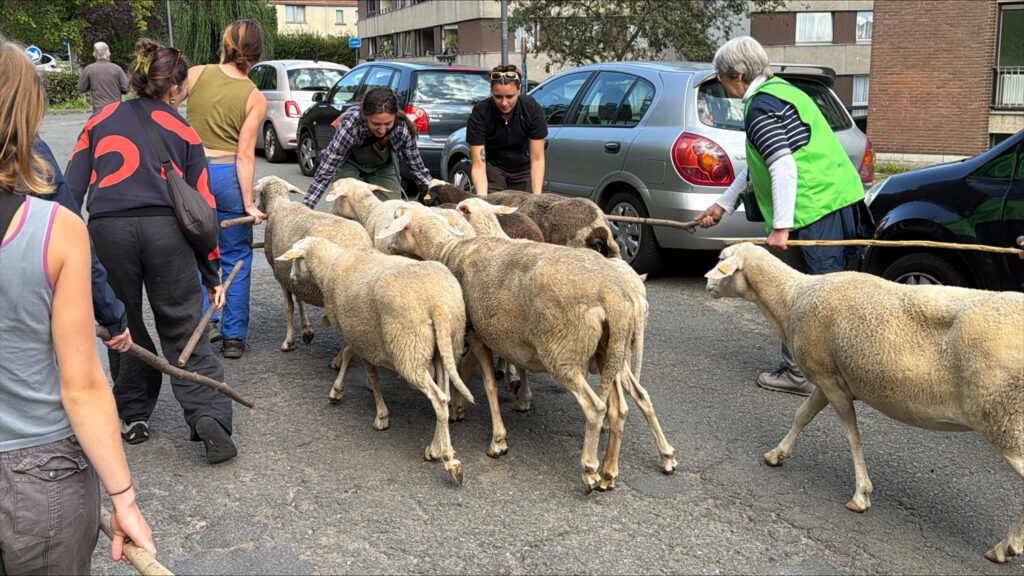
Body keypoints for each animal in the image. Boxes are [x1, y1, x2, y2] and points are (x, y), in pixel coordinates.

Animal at [255, 176, 372, 352]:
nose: (257, 207)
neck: (279, 204)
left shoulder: (280, 276)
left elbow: (289, 307)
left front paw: (289, 341)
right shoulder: (295, 275)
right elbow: (299, 300)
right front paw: (306, 331)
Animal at [276, 236, 474, 484]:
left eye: (296, 258)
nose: (292, 277)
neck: (329, 266)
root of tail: (436, 303)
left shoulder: (362, 338)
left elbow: (368, 372)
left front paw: (379, 415)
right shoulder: (359, 333)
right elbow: (349, 354)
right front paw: (338, 390)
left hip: (410, 349)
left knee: (438, 398)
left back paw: (450, 461)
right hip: (446, 345)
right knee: (445, 397)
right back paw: (435, 448)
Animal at [378, 204, 677, 492]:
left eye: (397, 219)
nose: (386, 245)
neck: (448, 249)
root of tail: (613, 295)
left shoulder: (477, 336)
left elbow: (488, 385)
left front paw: (497, 441)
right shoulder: (482, 336)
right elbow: (467, 370)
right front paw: (459, 408)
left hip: (562, 353)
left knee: (596, 408)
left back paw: (591, 472)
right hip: (612, 351)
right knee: (629, 403)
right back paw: (637, 465)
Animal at [704, 242, 1024, 563]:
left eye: (721, 261)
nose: (707, 285)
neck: (792, 298)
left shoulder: (831, 381)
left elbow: (852, 435)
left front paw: (861, 495)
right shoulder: (828, 378)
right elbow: (802, 415)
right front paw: (776, 454)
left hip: (1004, 418)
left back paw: (1004, 547)